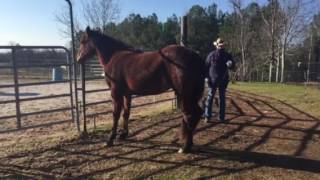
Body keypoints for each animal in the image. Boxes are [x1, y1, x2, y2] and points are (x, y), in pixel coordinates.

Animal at [76, 26, 204, 153]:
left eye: (83, 41)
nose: (78, 59)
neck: (114, 57)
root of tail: (195, 56)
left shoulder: (116, 93)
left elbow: (115, 115)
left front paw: (110, 140)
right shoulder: (127, 94)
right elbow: (126, 113)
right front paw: (123, 135)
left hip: (184, 94)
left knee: (189, 115)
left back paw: (185, 147)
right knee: (196, 113)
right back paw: (188, 144)